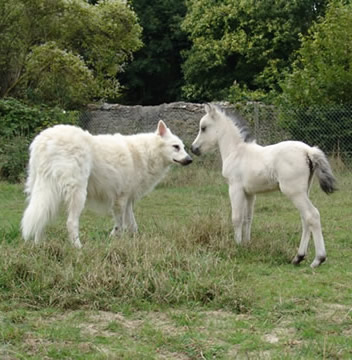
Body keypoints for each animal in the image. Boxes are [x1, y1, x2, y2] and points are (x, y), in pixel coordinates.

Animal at [21, 121, 192, 248]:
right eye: (176, 146)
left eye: (183, 147)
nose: (190, 160)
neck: (147, 152)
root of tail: (45, 141)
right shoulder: (120, 199)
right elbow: (120, 224)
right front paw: (115, 238)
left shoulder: (128, 201)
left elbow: (132, 224)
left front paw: (134, 240)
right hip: (77, 194)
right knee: (71, 223)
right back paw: (78, 248)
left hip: (47, 192)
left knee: (41, 218)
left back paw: (39, 245)